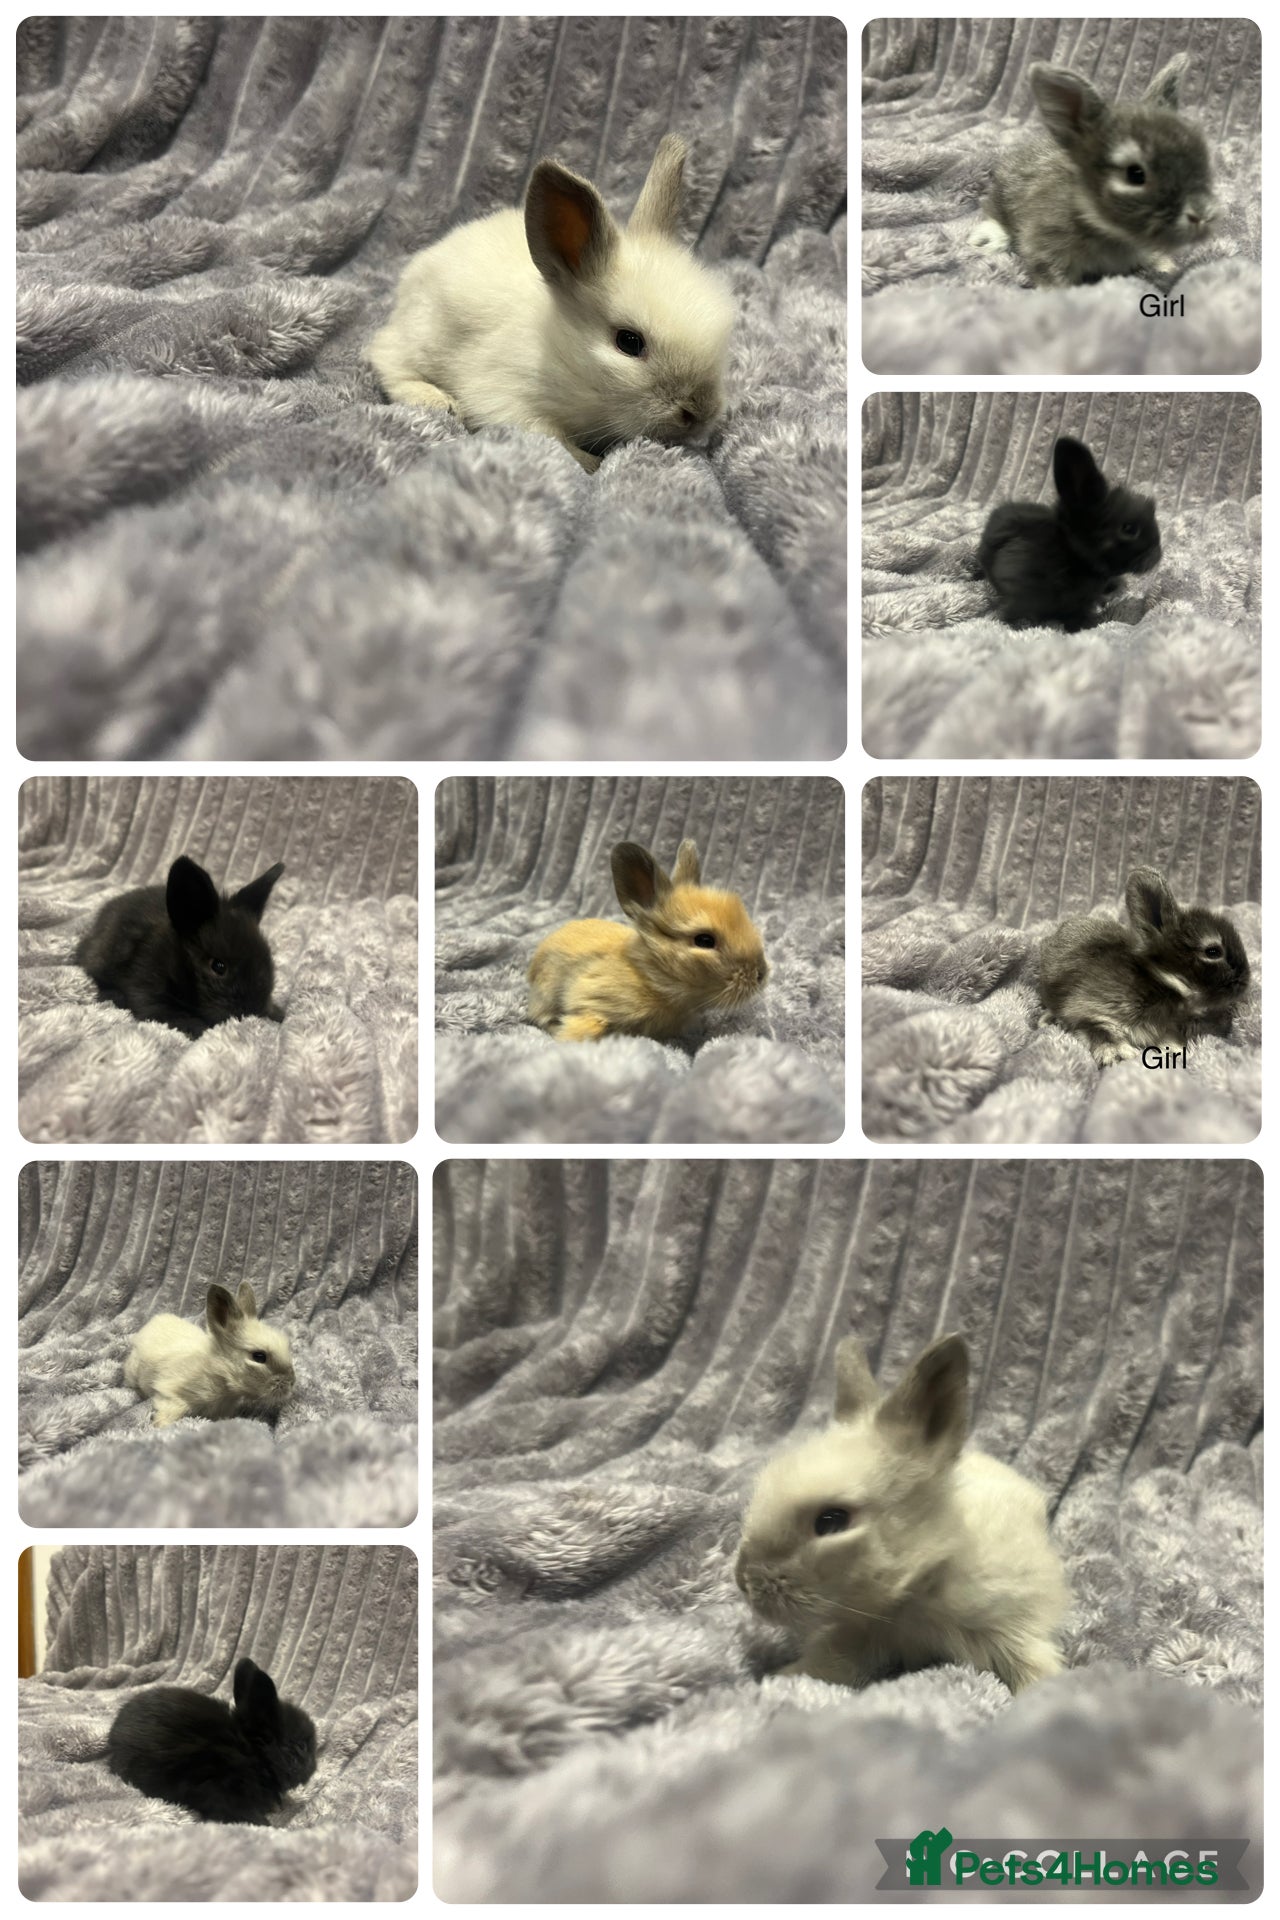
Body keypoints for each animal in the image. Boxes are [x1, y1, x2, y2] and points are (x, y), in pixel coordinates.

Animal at [125, 1282, 296, 1427]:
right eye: (259, 1356)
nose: (292, 1381)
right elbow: (171, 1411)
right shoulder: (172, 1394)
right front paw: (159, 1425)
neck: (220, 1375)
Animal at [367, 134, 734, 473]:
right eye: (629, 342)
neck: (563, 355)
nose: (699, 412)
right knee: (383, 356)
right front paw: (593, 464)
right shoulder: (507, 397)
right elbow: (553, 440)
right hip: (421, 336)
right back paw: (435, 400)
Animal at [735, 1334, 1068, 1695]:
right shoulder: (855, 1637)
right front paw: (777, 1677)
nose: (743, 1580)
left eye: (832, 1521)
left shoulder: (1011, 1627)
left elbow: (1032, 1665)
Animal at [1039, 866, 1250, 1066]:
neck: (1163, 981)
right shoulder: (1088, 1008)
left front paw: (1175, 1048)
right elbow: (1099, 1029)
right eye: (1212, 952)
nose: (1246, 981)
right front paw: (1117, 1054)